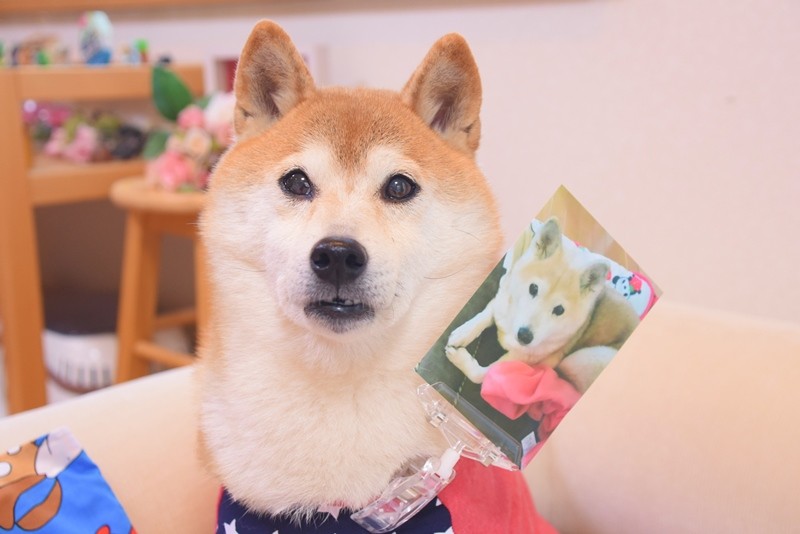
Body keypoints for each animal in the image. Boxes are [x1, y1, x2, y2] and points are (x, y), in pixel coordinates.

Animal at [445, 217, 640, 393]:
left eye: (559, 310)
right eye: (533, 288)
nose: (524, 336)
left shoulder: (522, 358)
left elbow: (482, 374)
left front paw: (460, 358)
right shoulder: (500, 300)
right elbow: (484, 316)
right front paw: (462, 333)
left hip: (583, 357)